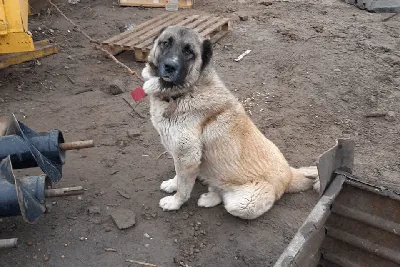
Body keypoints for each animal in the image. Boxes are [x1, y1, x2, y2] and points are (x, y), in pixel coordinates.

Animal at [141, 26, 318, 221]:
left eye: (189, 52)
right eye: (165, 43)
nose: (170, 66)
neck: (186, 92)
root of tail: (289, 176)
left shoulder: (187, 156)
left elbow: (184, 186)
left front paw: (175, 202)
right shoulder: (180, 155)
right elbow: (178, 175)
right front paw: (172, 184)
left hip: (241, 204)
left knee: (224, 196)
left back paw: (209, 197)